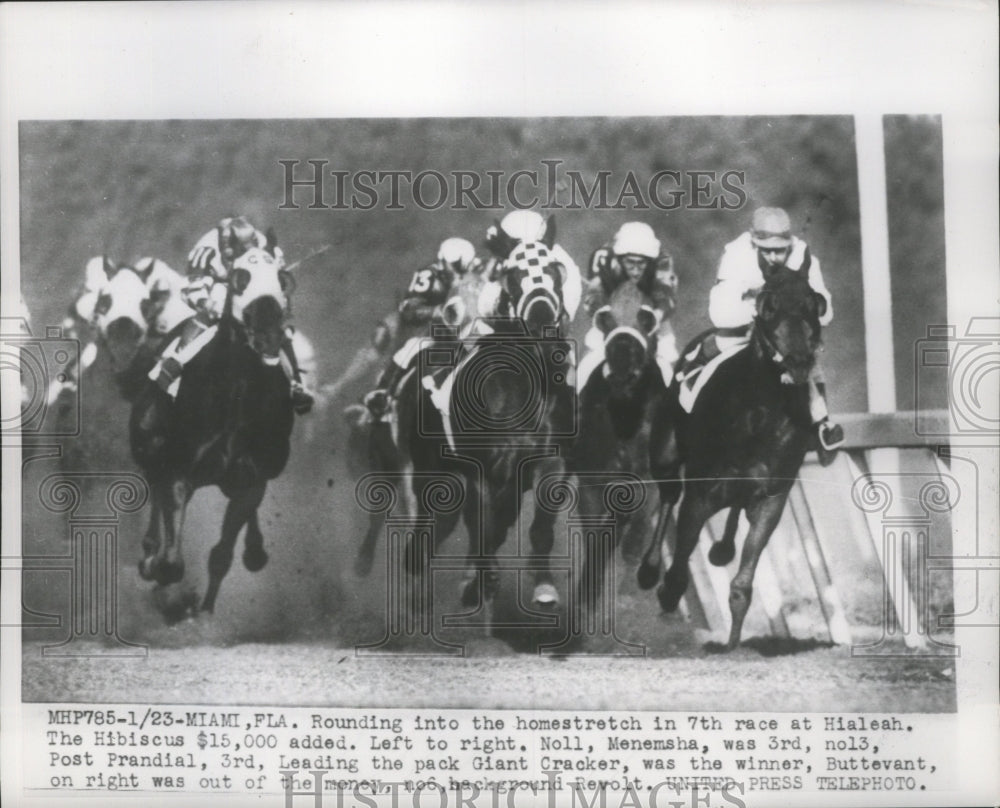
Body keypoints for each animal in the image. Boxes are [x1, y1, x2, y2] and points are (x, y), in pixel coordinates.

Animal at [128, 246, 296, 612]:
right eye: (239, 278)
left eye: (282, 278)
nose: (267, 334)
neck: (236, 394)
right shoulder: (179, 471)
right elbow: (171, 564)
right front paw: (158, 568)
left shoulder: (251, 480)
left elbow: (220, 556)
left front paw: (203, 611)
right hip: (148, 440)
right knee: (154, 479)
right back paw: (150, 551)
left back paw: (254, 549)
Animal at [640, 258, 828, 652]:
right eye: (768, 304)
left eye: (813, 303)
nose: (798, 361)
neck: (759, 412)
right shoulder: (700, 494)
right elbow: (678, 568)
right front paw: (668, 594)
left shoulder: (771, 498)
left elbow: (743, 582)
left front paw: (731, 645)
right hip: (665, 455)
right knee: (668, 497)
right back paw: (649, 570)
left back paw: (722, 550)